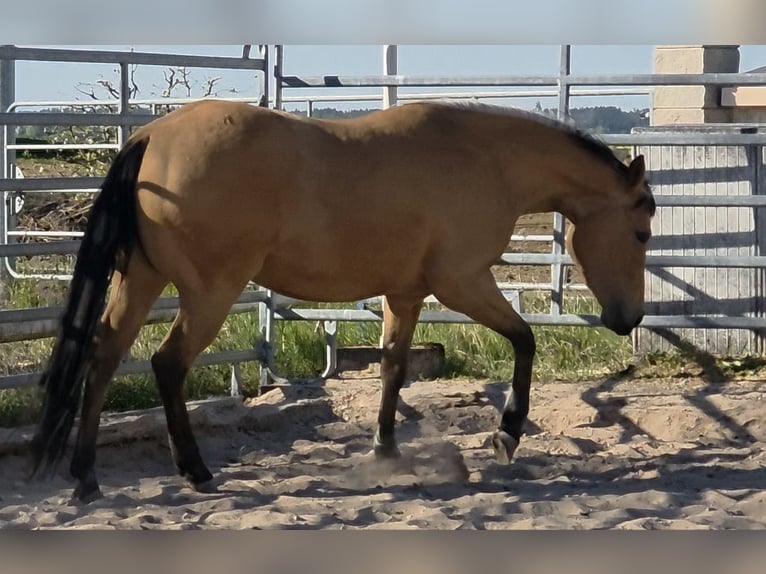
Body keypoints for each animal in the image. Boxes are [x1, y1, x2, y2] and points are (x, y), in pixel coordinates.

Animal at [30, 99, 655, 502]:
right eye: (642, 232)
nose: (629, 318)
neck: (486, 158)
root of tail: (151, 138)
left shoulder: (406, 292)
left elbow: (393, 368)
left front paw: (385, 451)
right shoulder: (462, 282)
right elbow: (524, 339)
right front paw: (506, 433)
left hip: (140, 279)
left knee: (104, 357)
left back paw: (86, 478)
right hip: (209, 293)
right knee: (167, 364)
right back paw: (195, 471)